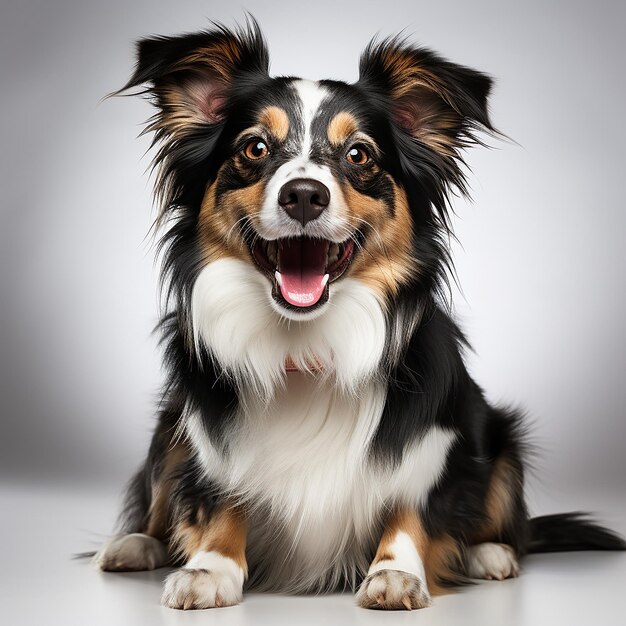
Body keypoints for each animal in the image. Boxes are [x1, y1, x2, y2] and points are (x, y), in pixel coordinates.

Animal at [94, 19, 624, 608]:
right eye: (255, 147)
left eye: (359, 155)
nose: (305, 195)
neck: (304, 343)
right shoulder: (211, 434)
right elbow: (218, 496)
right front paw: (211, 567)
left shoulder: (432, 437)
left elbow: (412, 506)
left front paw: (395, 572)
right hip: (171, 424)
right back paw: (134, 545)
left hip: (499, 433)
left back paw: (490, 554)